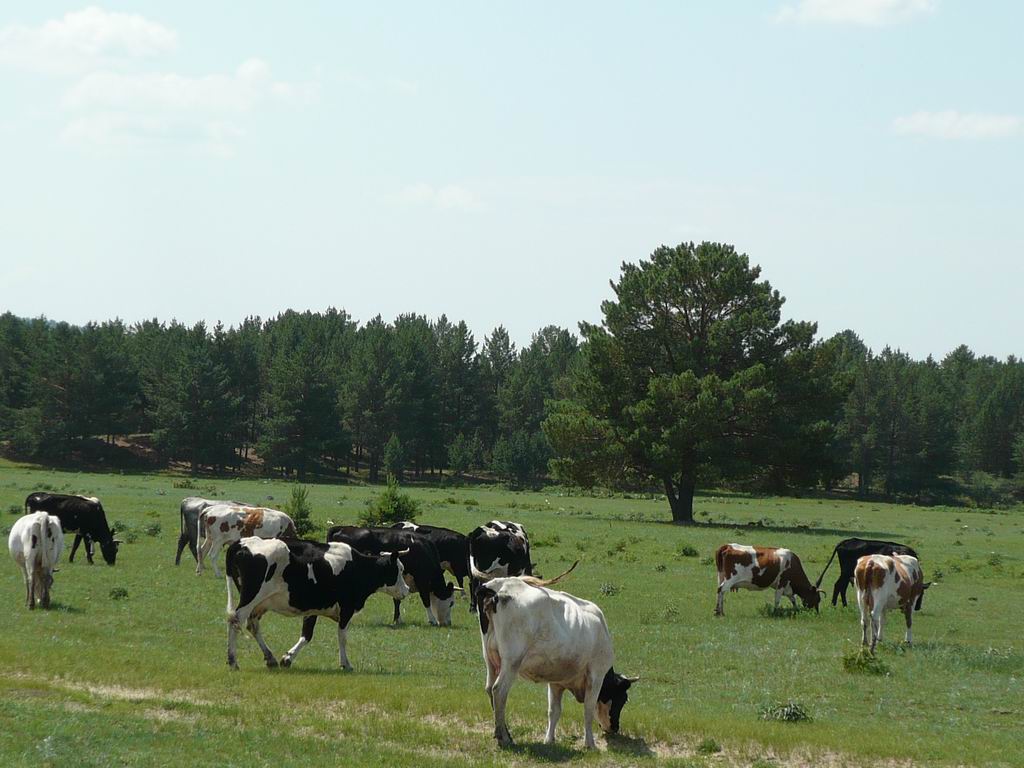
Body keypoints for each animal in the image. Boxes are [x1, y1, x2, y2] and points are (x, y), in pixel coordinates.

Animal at [226, 536, 409, 671]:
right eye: (399, 570)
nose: (407, 589)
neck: (358, 566)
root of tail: (241, 542)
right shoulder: (346, 608)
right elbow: (342, 637)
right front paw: (346, 664)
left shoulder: (313, 608)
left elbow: (306, 635)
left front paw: (287, 658)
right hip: (250, 598)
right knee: (236, 621)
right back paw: (233, 661)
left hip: (259, 604)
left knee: (252, 625)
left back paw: (270, 658)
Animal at [327, 528, 460, 626]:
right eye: (451, 603)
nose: (448, 623)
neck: (424, 550)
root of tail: (342, 528)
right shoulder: (421, 579)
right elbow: (425, 599)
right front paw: (432, 620)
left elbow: (397, 600)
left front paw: (397, 619)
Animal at [475, 561, 634, 749]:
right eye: (622, 699)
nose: (615, 728)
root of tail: (499, 586)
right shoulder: (596, 676)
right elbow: (588, 710)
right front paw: (590, 744)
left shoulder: (556, 682)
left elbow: (554, 711)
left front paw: (549, 740)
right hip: (511, 662)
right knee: (498, 691)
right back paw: (504, 738)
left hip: (490, 659)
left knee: (489, 689)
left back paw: (503, 732)